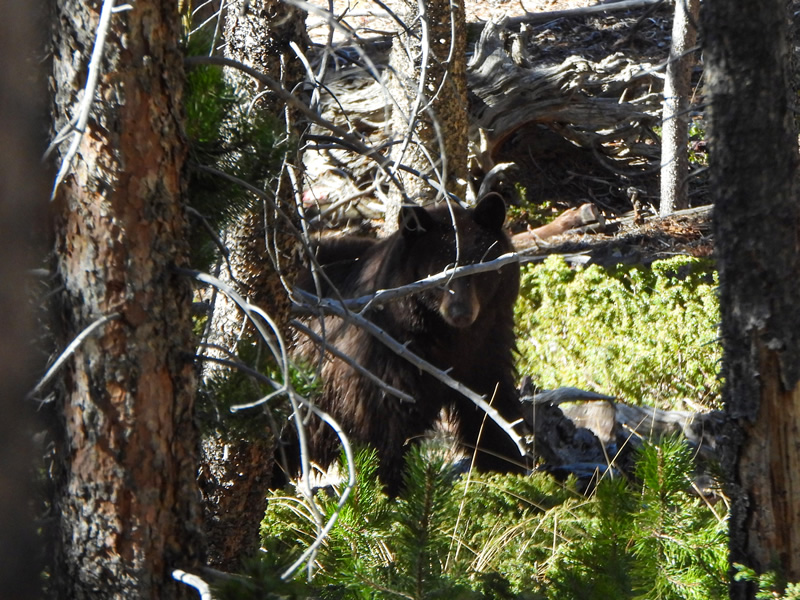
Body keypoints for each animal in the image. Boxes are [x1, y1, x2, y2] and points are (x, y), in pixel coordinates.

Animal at [288, 192, 526, 495]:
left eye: (479, 270)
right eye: (438, 273)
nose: (460, 313)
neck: (448, 337)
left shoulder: (485, 345)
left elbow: (491, 403)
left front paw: (507, 467)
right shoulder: (389, 353)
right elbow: (387, 424)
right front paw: (391, 486)